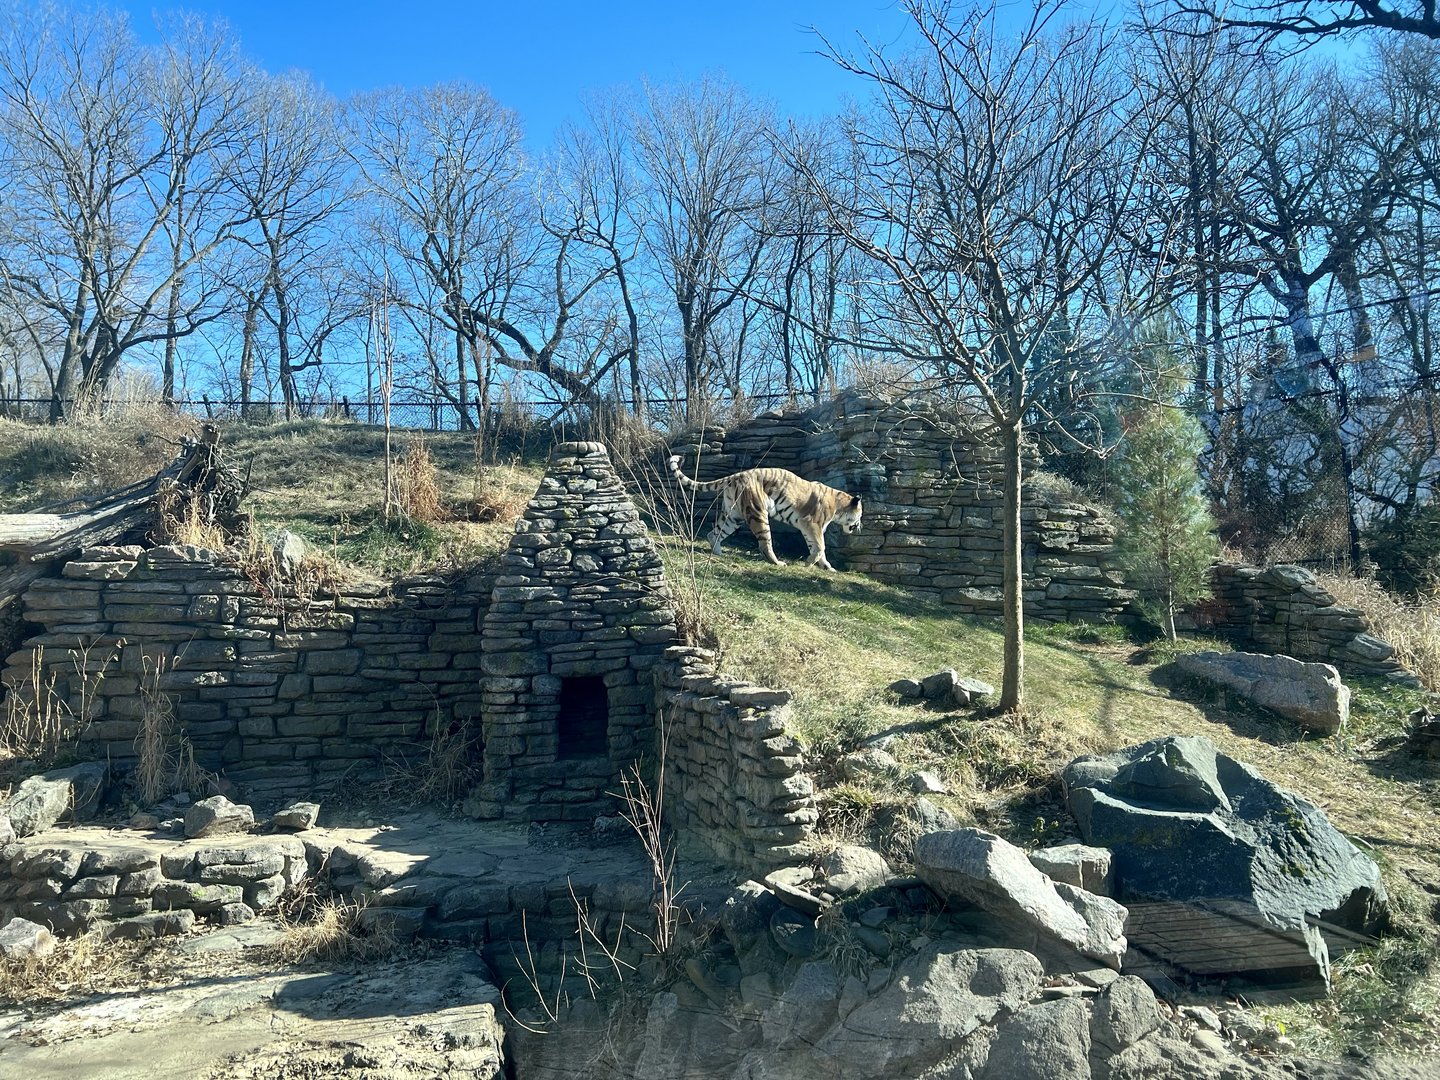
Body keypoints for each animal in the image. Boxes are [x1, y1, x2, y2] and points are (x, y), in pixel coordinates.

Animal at [668, 455, 863, 571]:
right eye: (860, 515)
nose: (860, 526)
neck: (839, 506)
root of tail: (736, 475)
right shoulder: (811, 524)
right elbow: (821, 546)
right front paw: (810, 563)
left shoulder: (809, 528)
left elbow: (816, 547)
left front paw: (826, 566)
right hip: (758, 513)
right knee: (765, 544)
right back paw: (778, 562)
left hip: (733, 516)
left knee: (714, 533)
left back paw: (717, 553)